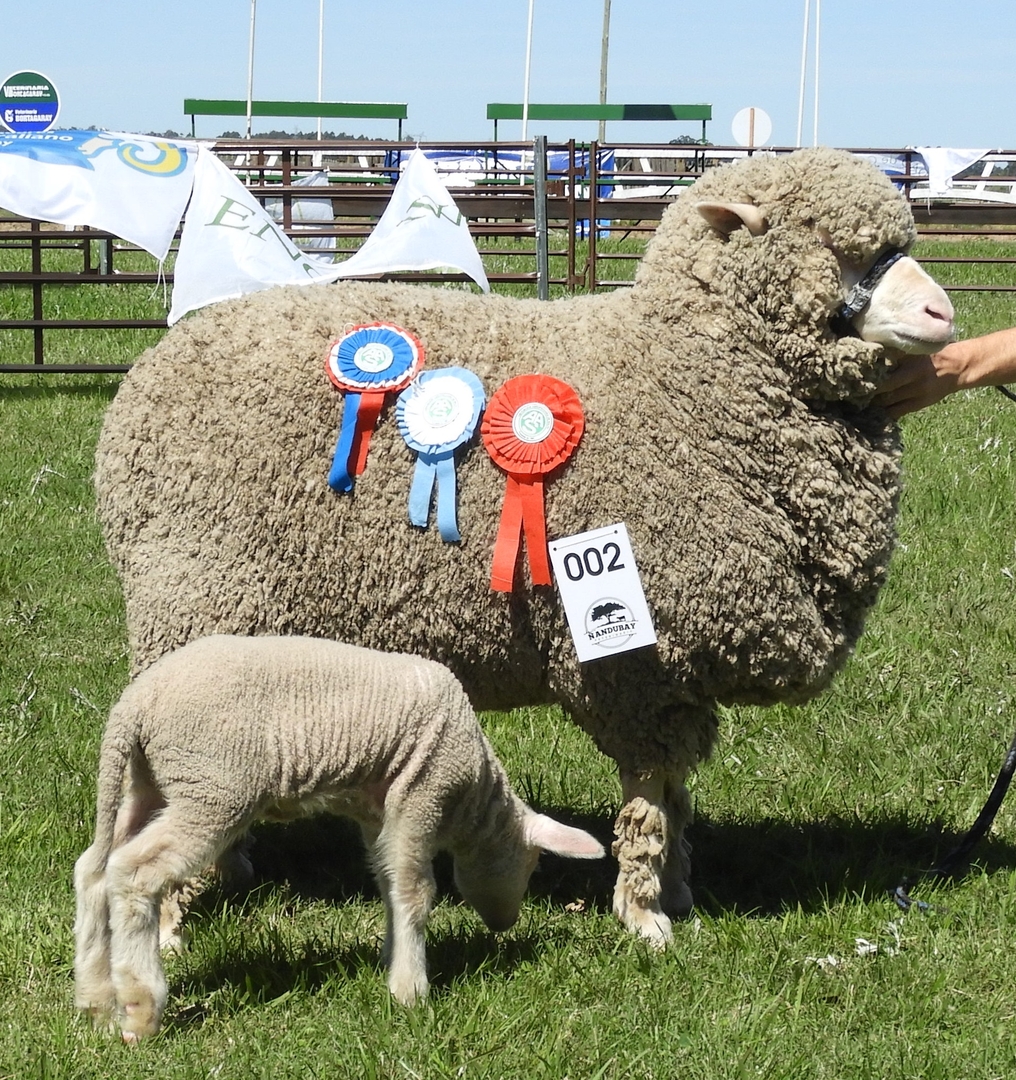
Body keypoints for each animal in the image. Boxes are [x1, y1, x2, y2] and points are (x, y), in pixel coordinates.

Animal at [73, 634, 604, 1041]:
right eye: (531, 864)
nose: (504, 923)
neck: (473, 794)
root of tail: (135, 705)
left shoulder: (380, 811)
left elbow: (390, 882)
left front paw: (393, 959)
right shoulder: (424, 789)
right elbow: (416, 891)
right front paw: (411, 991)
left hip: (151, 782)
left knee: (94, 870)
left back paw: (97, 998)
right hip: (210, 785)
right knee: (135, 872)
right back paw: (140, 1008)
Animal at [94, 147, 955, 948]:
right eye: (837, 248)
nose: (944, 314)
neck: (689, 373)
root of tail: (141, 385)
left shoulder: (679, 670)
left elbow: (675, 794)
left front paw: (677, 892)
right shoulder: (633, 660)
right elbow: (649, 793)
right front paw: (645, 915)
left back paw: (226, 866)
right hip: (197, 599)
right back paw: (170, 916)